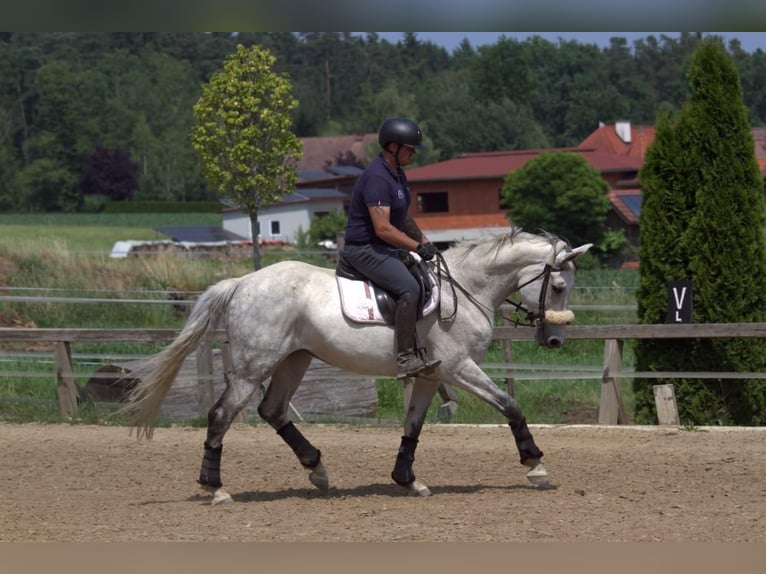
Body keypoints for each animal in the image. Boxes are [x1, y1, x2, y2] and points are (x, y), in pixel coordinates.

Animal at [121, 228, 591, 505]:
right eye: (559, 286)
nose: (554, 340)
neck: (467, 287)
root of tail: (241, 283)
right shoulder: (458, 368)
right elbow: (510, 406)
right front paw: (535, 465)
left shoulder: (430, 374)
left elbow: (413, 427)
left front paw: (408, 480)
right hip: (255, 367)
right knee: (221, 414)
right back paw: (216, 488)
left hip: (294, 360)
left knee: (272, 410)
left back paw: (317, 470)